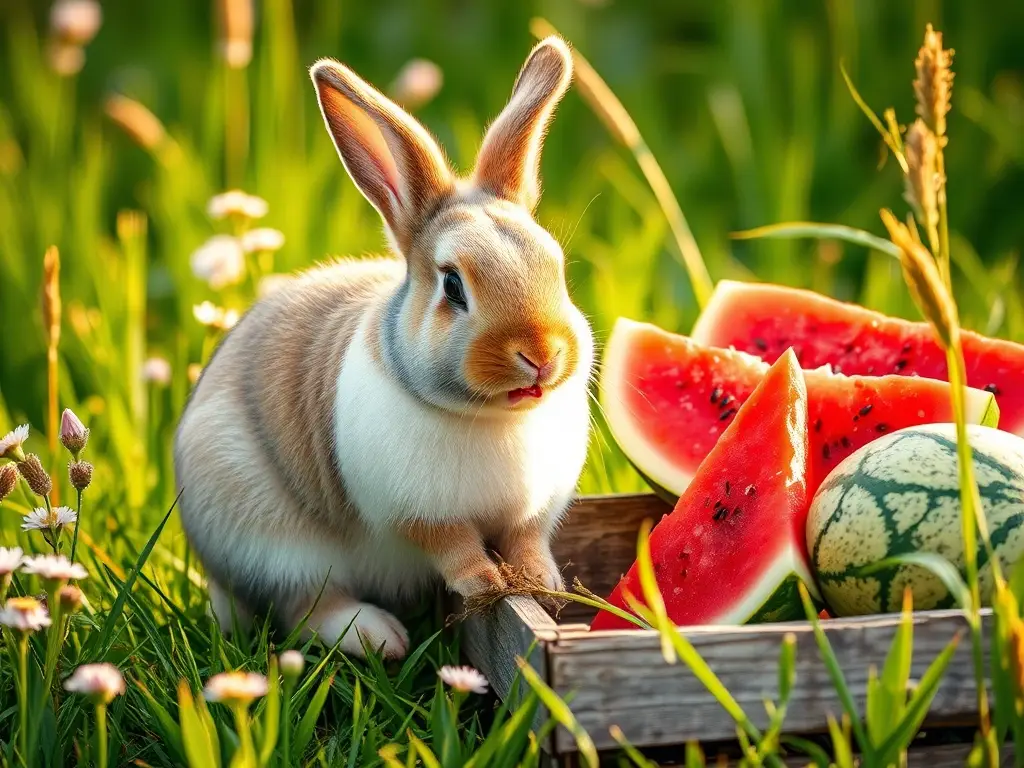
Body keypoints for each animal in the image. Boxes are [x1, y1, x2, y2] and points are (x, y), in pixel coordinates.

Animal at [173, 35, 594, 661]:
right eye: (453, 286)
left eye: (557, 268)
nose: (542, 355)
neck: (493, 418)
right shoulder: (421, 515)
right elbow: (454, 548)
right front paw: (485, 585)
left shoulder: (532, 513)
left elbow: (526, 542)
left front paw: (542, 585)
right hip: (271, 542)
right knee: (306, 606)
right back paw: (381, 637)